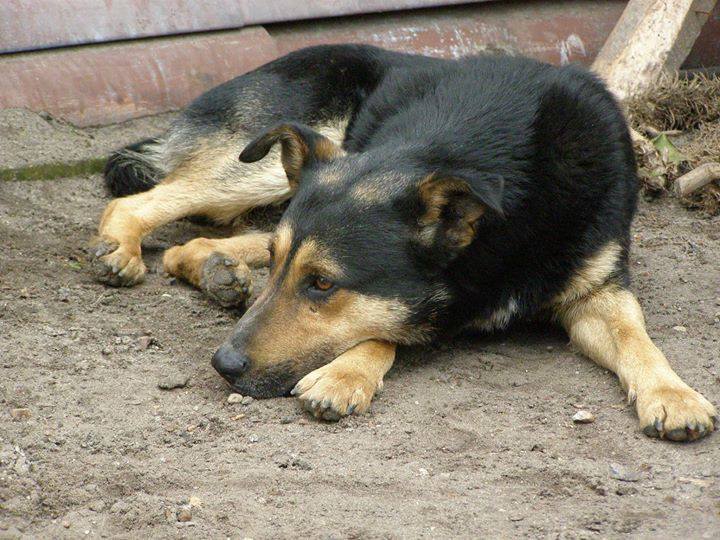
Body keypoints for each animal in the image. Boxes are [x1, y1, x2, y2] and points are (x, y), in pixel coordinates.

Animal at [91, 44, 716, 440]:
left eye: (323, 284)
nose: (221, 363)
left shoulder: (599, 292)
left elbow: (639, 340)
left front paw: (674, 394)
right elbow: (383, 328)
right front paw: (346, 373)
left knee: (193, 242)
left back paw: (220, 270)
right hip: (255, 167)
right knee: (145, 205)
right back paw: (126, 250)